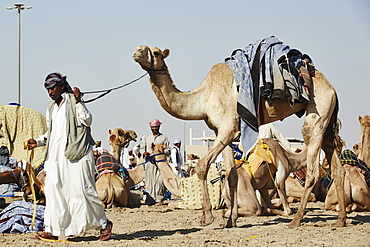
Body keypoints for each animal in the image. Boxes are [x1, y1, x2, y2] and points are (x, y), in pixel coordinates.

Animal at [132, 43, 346, 228]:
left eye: (156, 52)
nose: (137, 50)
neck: (203, 98)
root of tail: (333, 90)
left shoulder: (227, 128)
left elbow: (202, 166)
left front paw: (207, 217)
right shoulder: (222, 131)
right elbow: (232, 174)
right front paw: (230, 221)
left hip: (317, 114)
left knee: (313, 169)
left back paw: (296, 220)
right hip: (327, 123)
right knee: (337, 169)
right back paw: (340, 220)